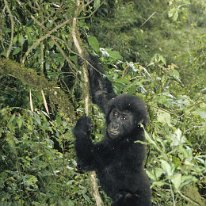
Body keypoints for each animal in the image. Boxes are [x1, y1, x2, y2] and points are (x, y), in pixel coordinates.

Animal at [73, 55, 151, 205]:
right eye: (115, 114)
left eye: (124, 118)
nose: (114, 125)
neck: (130, 133)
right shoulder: (111, 103)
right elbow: (102, 93)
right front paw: (89, 60)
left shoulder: (125, 147)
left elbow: (89, 158)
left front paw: (81, 128)